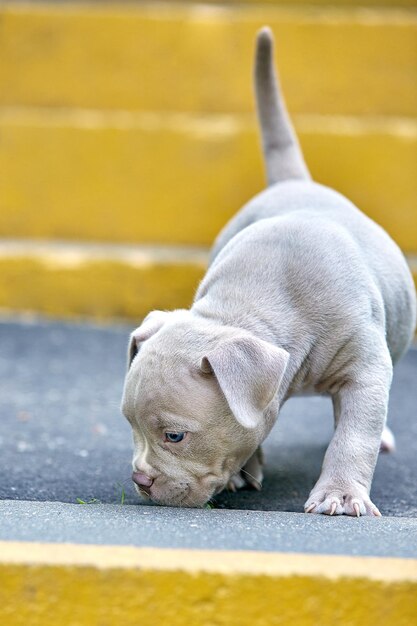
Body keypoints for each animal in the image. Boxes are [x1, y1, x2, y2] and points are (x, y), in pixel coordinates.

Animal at [122, 28, 414, 512]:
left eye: (175, 436)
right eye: (129, 424)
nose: (140, 480)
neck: (250, 306)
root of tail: (293, 182)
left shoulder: (366, 368)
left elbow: (355, 434)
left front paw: (339, 494)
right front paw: (246, 469)